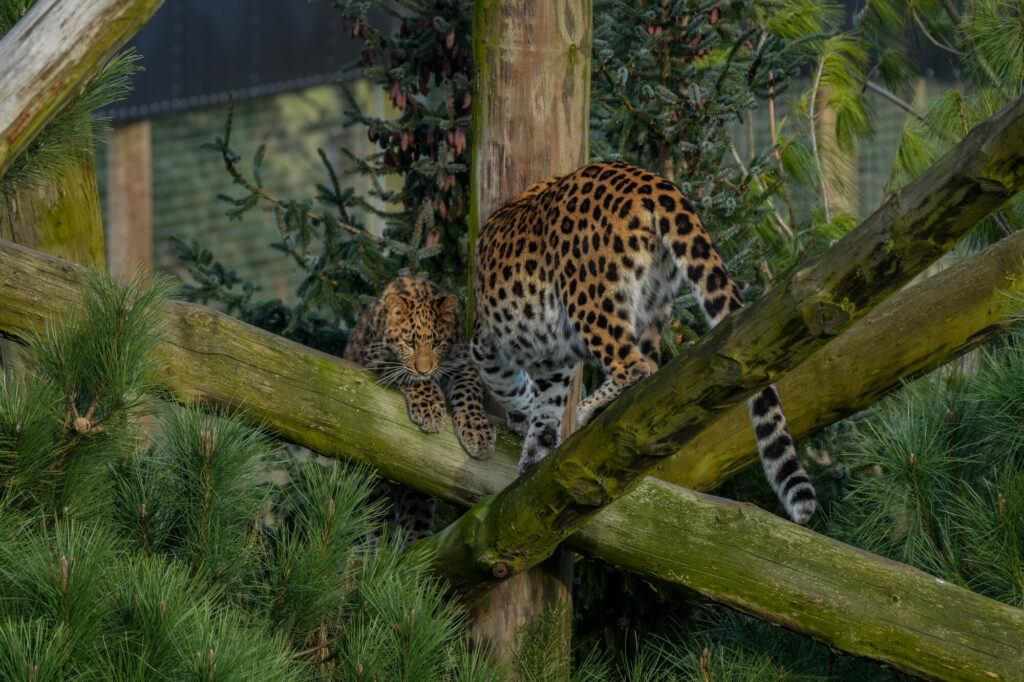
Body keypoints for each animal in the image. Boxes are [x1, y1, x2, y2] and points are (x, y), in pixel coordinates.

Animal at [345, 275, 496, 460]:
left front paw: (479, 433)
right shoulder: (375, 354)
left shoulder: (463, 362)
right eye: (410, 343)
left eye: (437, 343)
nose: (424, 371)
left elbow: (468, 394)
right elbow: (418, 381)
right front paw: (431, 413)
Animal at [471, 161, 816, 524]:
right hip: (654, 298)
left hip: (590, 297)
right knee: (648, 371)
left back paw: (590, 406)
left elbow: (511, 388)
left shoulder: (488, 344)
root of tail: (648, 179)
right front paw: (536, 449)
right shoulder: (553, 361)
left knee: (633, 365)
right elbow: (547, 401)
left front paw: (523, 422)